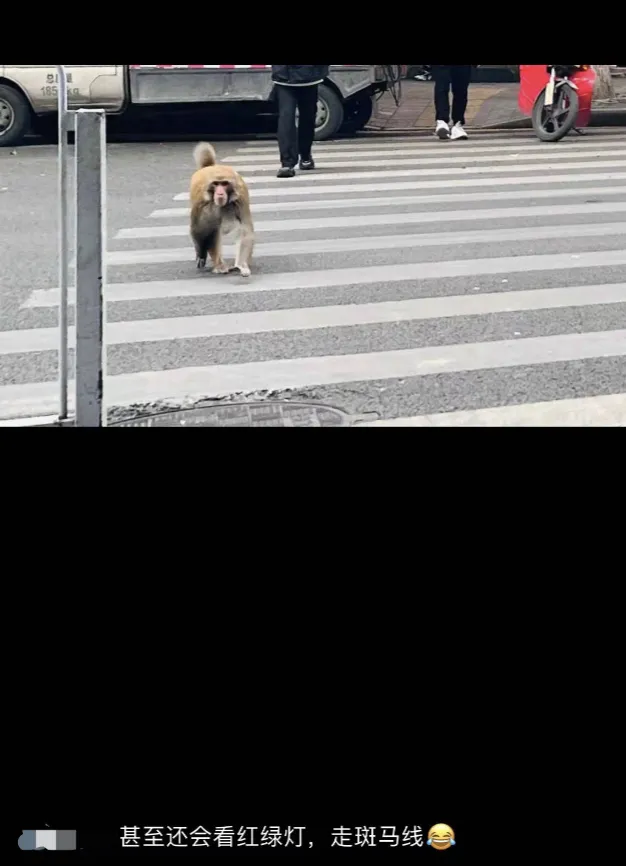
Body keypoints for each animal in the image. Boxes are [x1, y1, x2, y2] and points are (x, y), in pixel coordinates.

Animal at [189, 142, 255, 277]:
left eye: (224, 184)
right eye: (216, 184)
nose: (219, 193)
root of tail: (210, 166)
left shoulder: (241, 199)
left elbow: (245, 230)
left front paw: (241, 264)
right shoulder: (201, 203)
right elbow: (201, 230)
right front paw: (202, 256)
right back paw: (217, 264)